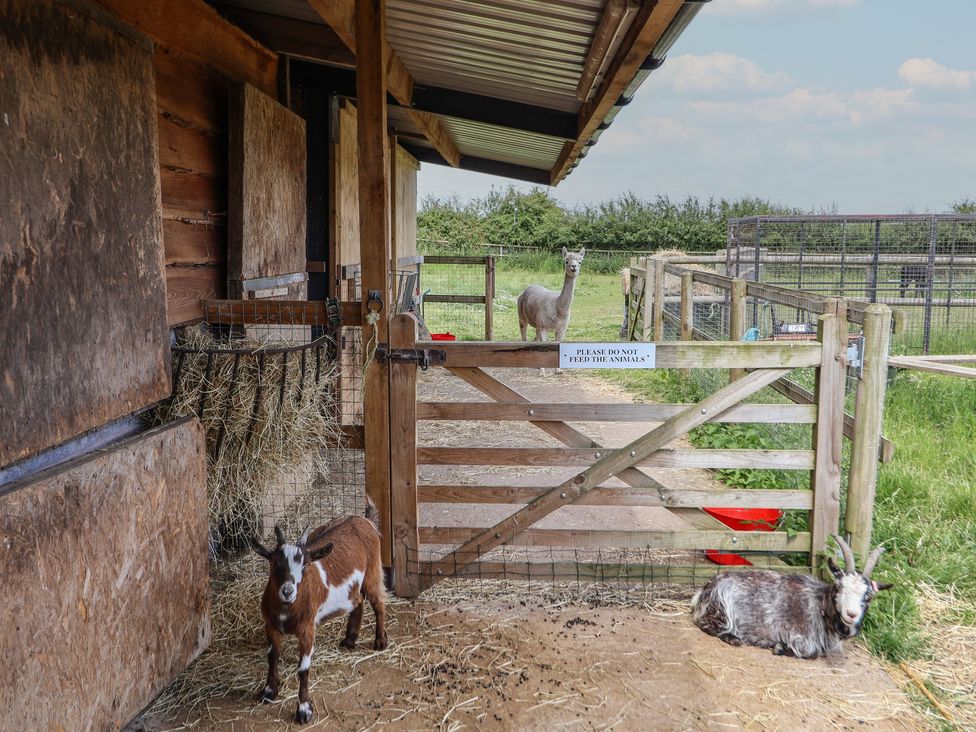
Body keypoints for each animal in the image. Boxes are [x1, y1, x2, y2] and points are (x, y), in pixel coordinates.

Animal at [250, 504, 386, 720]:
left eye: (305, 564)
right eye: (273, 562)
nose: (287, 591)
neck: (287, 609)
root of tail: (363, 520)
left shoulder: (307, 629)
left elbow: (303, 669)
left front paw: (304, 710)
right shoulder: (270, 626)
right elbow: (272, 657)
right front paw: (269, 691)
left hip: (373, 571)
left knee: (378, 602)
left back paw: (380, 641)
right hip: (353, 589)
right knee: (358, 601)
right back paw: (350, 639)